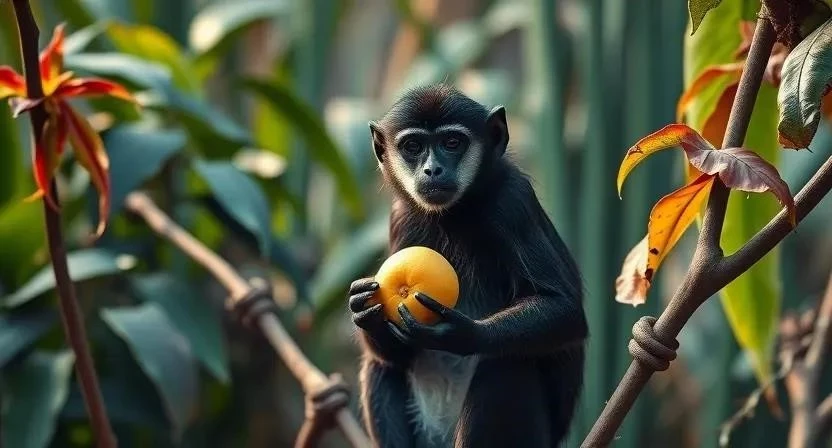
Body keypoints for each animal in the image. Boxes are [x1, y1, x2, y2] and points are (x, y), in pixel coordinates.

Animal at [348, 83, 588, 448]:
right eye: (413, 147)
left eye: (452, 143)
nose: (432, 170)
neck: (453, 215)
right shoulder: (399, 217)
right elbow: (392, 357)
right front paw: (365, 309)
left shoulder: (513, 201)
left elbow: (566, 310)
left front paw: (460, 333)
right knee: (381, 367)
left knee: (507, 364)